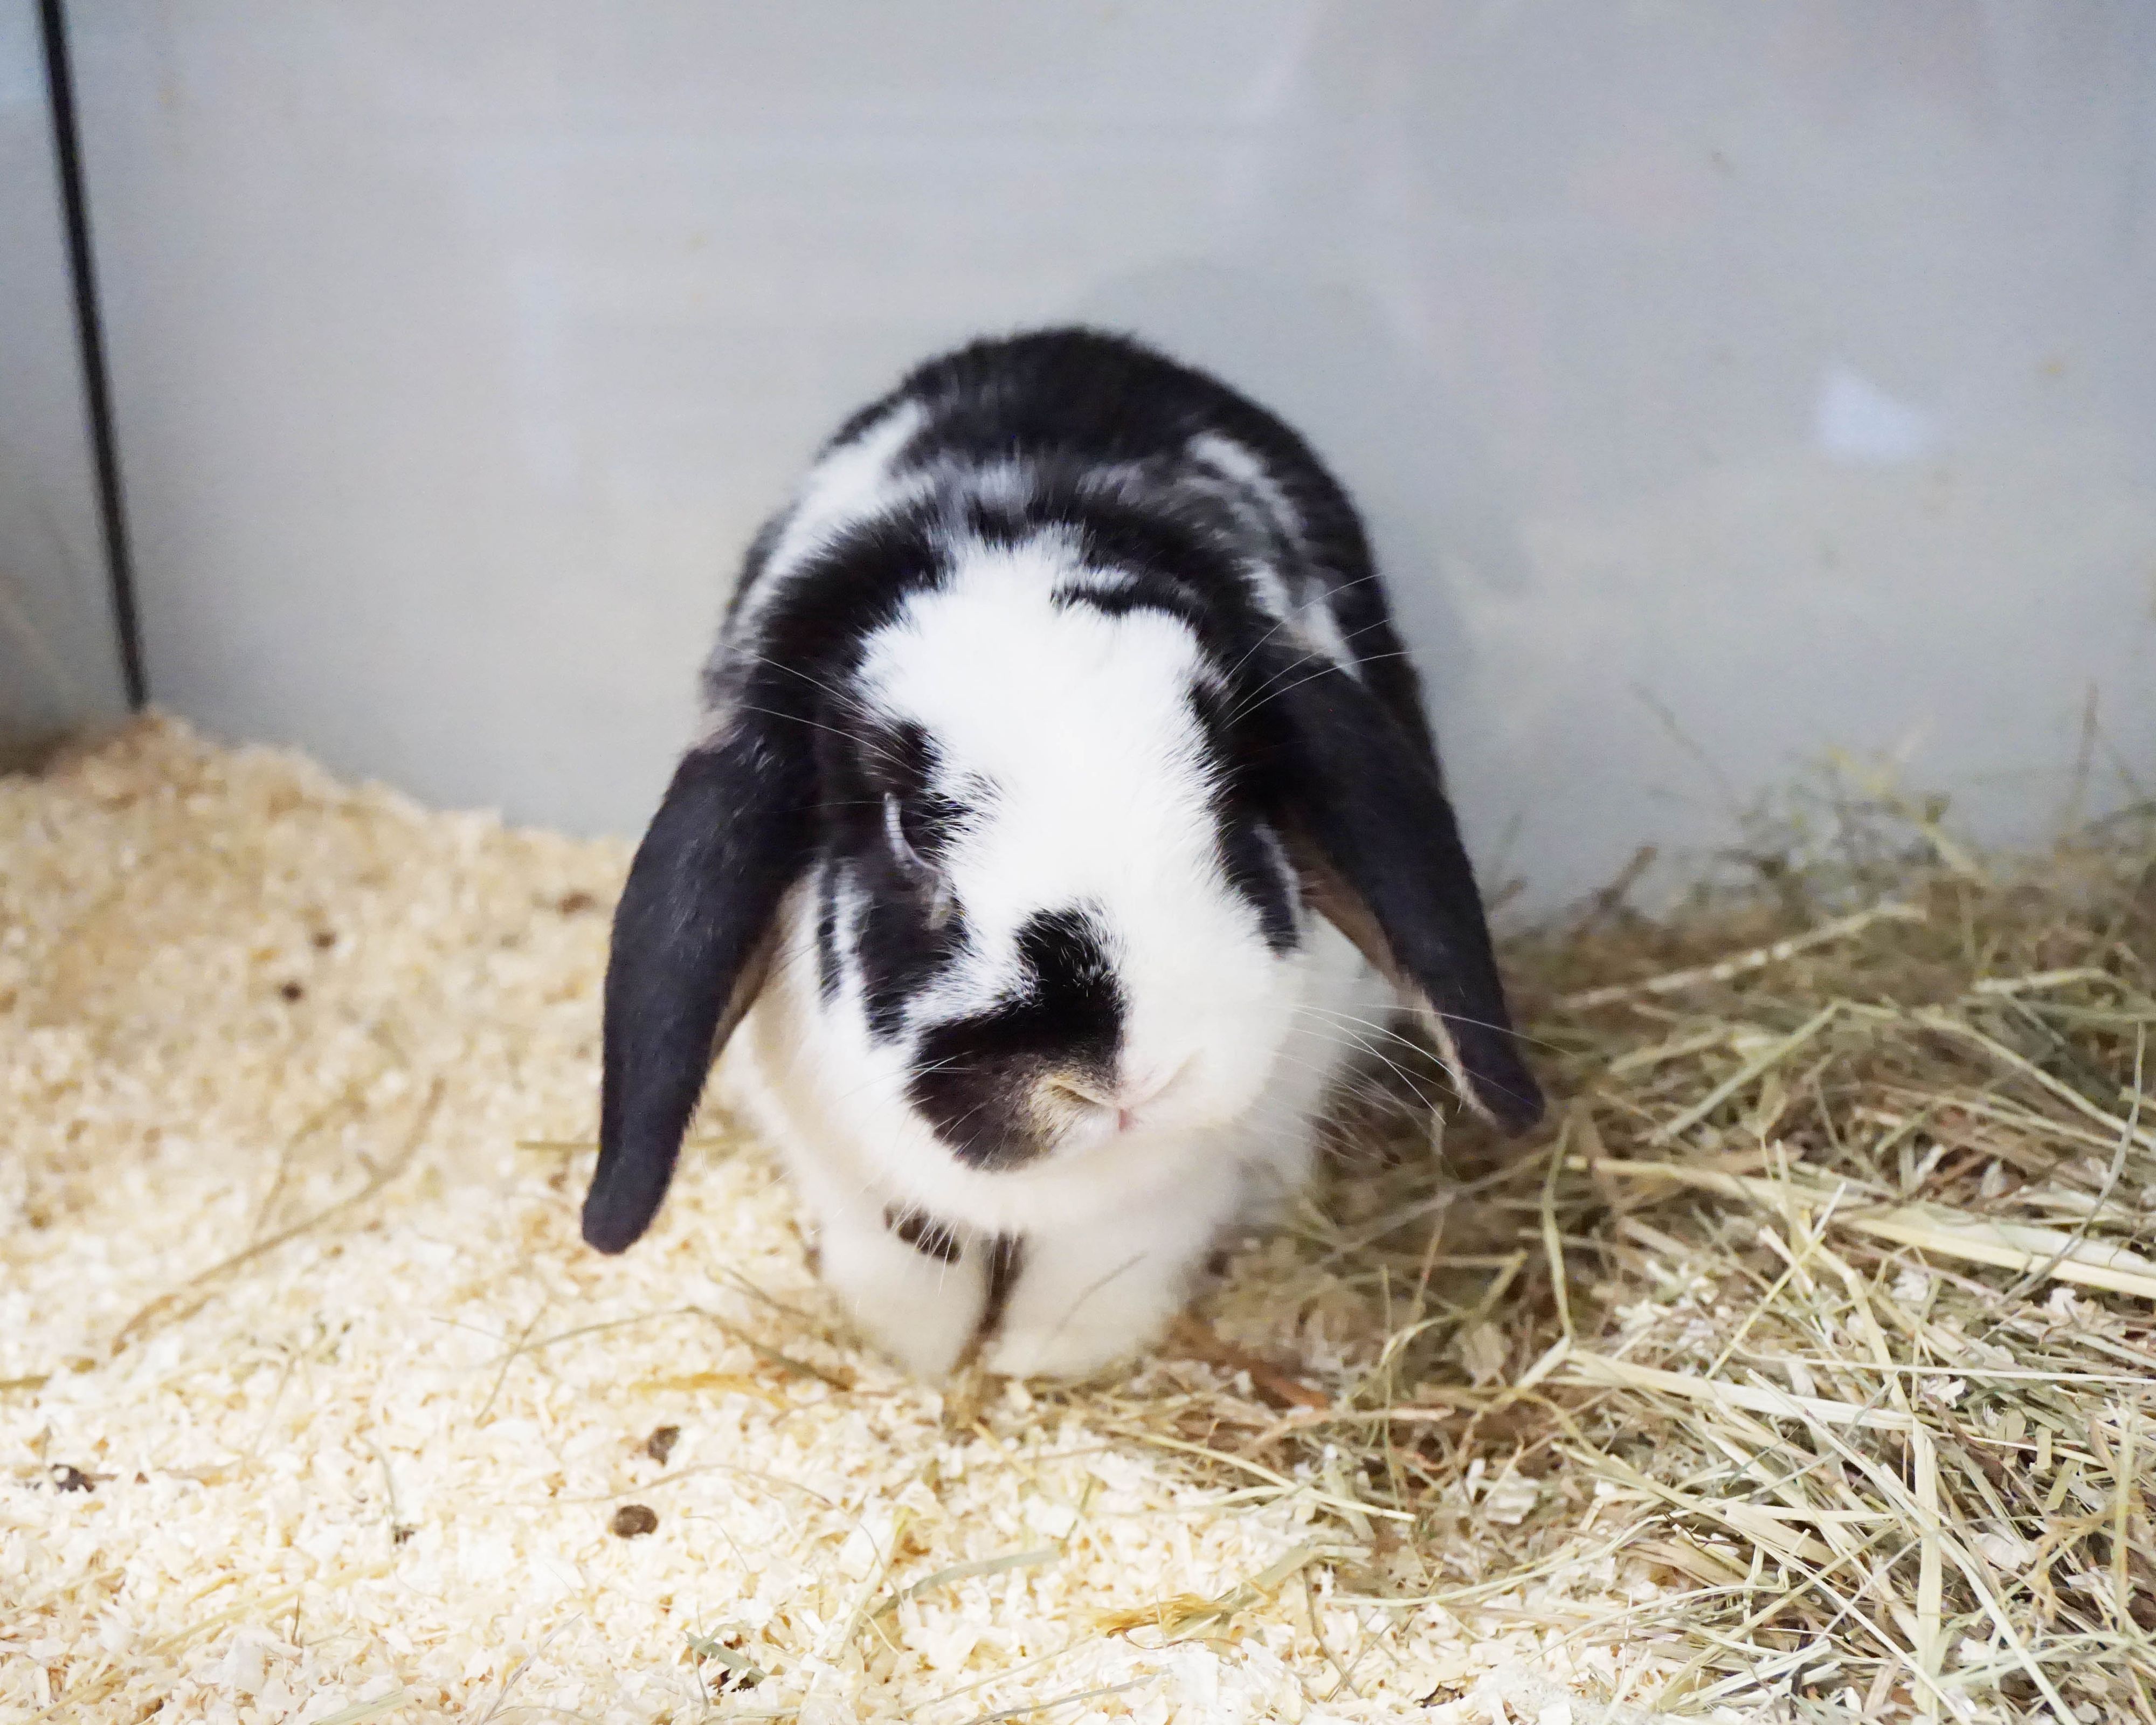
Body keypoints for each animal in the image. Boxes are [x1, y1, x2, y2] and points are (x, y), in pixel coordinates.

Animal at [580, 328, 1543, 1381]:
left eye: (1230, 800)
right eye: (910, 830)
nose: (1125, 1079)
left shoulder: (1172, 1187)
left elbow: (1108, 1265)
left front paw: (1037, 1361)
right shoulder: (847, 1170)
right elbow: (904, 1259)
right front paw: (915, 1358)